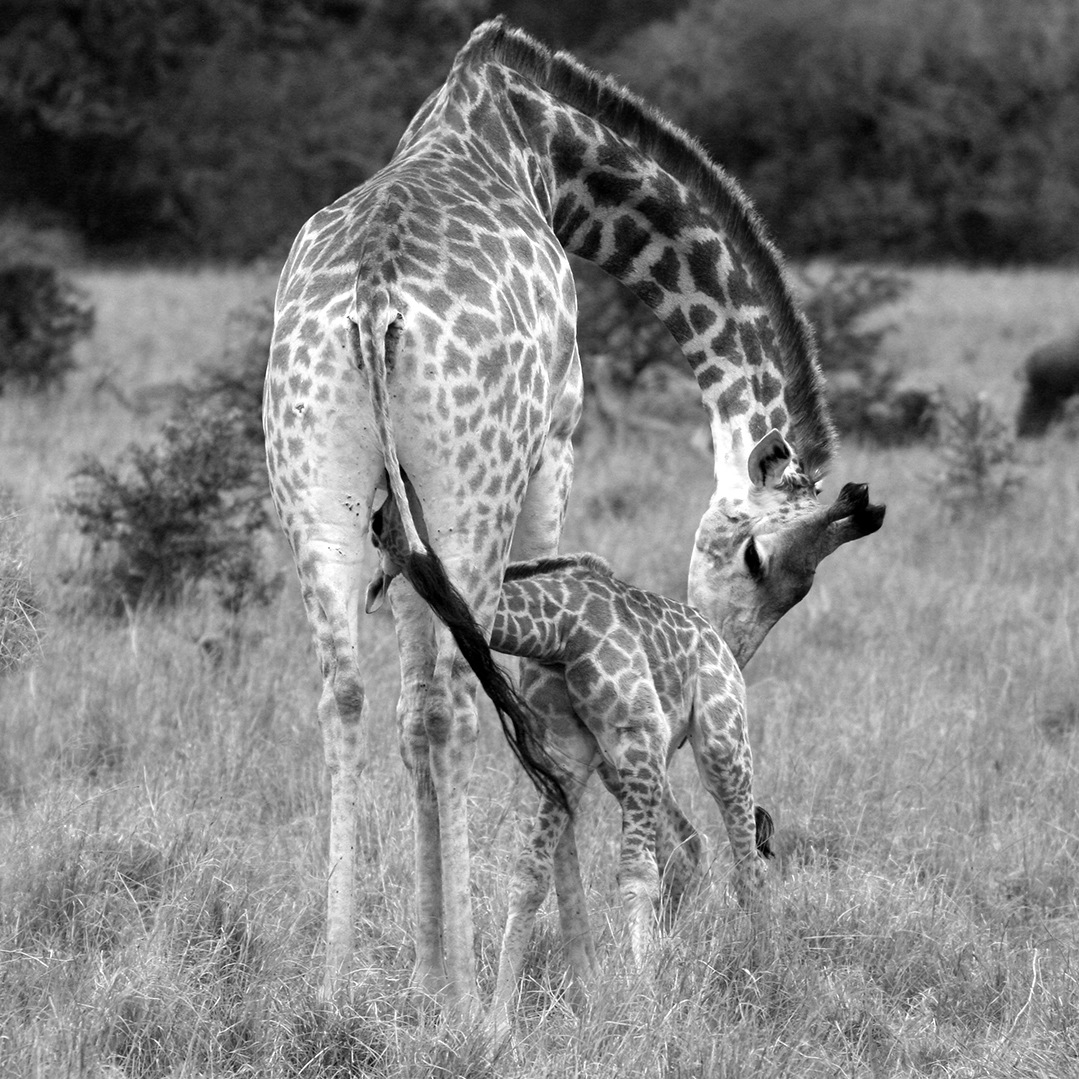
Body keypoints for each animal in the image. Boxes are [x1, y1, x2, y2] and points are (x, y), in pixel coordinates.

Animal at [366, 494, 772, 1022]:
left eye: (388, 524)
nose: (375, 519)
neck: (559, 630)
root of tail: (717, 637)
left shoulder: (639, 733)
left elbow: (636, 874)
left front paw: (641, 1005)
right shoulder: (566, 757)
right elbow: (528, 876)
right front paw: (496, 1023)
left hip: (721, 741)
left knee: (748, 864)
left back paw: (760, 969)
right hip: (622, 771)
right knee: (687, 845)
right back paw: (671, 956)